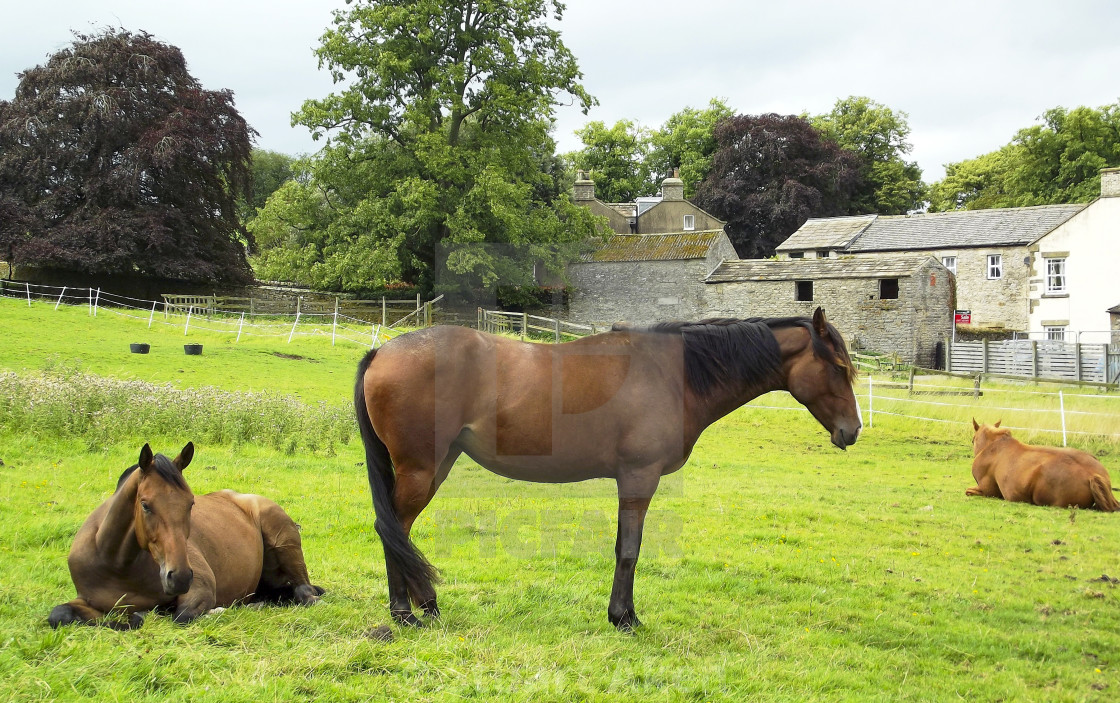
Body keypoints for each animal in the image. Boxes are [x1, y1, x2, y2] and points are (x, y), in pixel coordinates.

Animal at [50, 441, 322, 626]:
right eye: (145, 505)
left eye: (190, 503)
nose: (179, 577)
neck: (117, 565)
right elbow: (59, 614)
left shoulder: (200, 589)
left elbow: (181, 615)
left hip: (285, 545)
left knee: (305, 593)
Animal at [353, 311, 860, 626]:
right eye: (837, 367)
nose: (852, 430)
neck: (673, 375)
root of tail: (382, 352)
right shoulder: (638, 479)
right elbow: (629, 551)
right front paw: (624, 618)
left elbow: (624, 548)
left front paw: (622, 613)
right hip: (421, 470)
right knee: (392, 528)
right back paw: (406, 612)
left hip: (437, 465)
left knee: (397, 531)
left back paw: (421, 606)